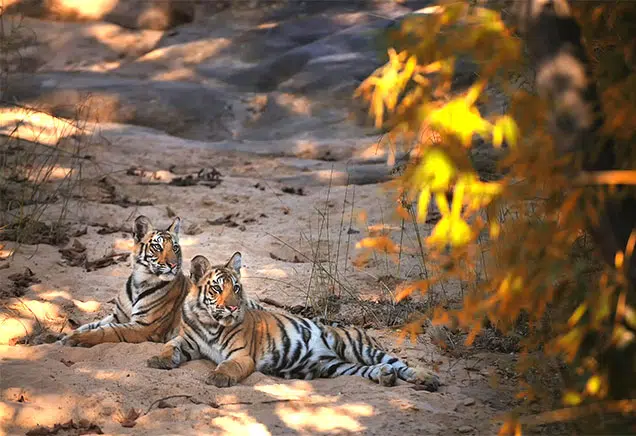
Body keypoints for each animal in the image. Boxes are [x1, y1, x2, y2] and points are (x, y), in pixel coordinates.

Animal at [56, 215, 189, 348]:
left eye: (175, 248)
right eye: (157, 247)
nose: (173, 265)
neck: (139, 282)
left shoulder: (145, 327)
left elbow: (107, 330)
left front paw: (73, 339)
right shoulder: (119, 316)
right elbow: (91, 325)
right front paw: (64, 336)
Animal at [147, 250, 440, 390]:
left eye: (237, 288)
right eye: (217, 288)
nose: (232, 307)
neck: (209, 322)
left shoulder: (242, 355)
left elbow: (229, 366)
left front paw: (218, 377)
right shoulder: (187, 340)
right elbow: (169, 347)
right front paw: (158, 359)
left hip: (357, 347)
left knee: (399, 363)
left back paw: (426, 378)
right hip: (337, 367)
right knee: (372, 370)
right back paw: (385, 376)